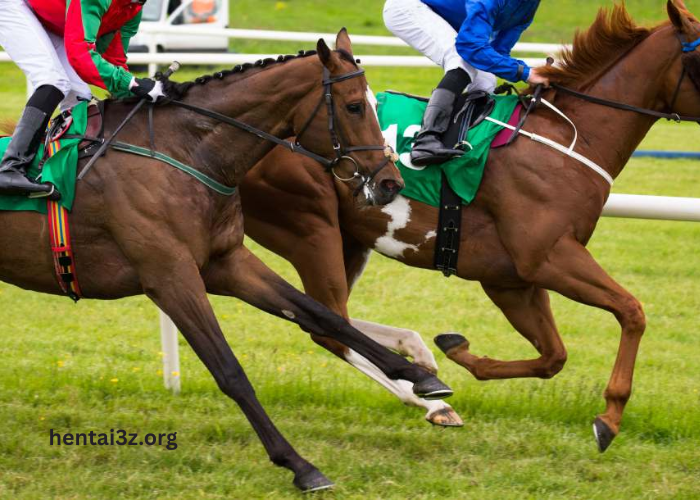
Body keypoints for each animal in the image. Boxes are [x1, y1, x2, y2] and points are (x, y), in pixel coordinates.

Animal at [0, 30, 456, 492]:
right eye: (354, 106)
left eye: (372, 104)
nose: (390, 183)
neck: (185, 153)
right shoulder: (170, 276)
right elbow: (230, 371)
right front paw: (299, 465)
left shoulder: (227, 262)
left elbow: (322, 315)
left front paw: (422, 378)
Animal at [240, 2, 700, 452]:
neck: (568, 140)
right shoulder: (547, 258)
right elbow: (631, 311)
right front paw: (609, 418)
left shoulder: (512, 280)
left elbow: (553, 356)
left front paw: (455, 349)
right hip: (310, 228)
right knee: (329, 326)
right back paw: (427, 395)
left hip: (348, 239)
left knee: (330, 318)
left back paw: (422, 369)